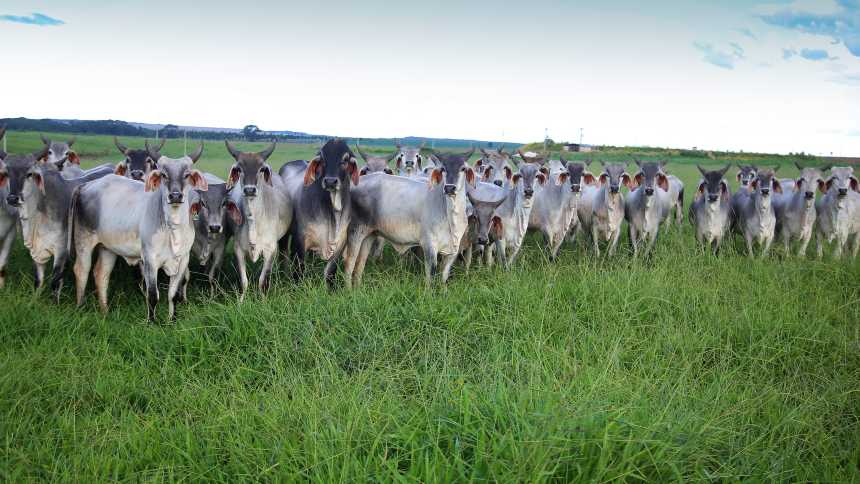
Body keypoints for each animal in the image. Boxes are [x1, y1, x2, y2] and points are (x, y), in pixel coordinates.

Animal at [72, 143, 207, 322]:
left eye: (186, 175)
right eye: (163, 174)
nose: (175, 196)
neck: (173, 227)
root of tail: (85, 186)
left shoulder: (183, 260)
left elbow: (173, 295)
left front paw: (172, 320)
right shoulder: (150, 260)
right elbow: (153, 295)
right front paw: (152, 322)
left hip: (108, 248)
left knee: (101, 274)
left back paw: (105, 311)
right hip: (83, 241)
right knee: (82, 270)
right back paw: (80, 307)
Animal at [223, 141, 290, 298]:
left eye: (261, 169)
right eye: (239, 169)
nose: (249, 190)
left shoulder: (270, 249)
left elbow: (262, 280)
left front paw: (263, 299)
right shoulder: (238, 249)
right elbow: (244, 281)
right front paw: (241, 300)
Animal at [342, 147, 478, 288]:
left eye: (463, 168)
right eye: (443, 169)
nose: (449, 188)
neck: (450, 215)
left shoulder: (452, 252)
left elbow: (444, 278)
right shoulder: (429, 246)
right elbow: (431, 276)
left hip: (369, 234)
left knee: (360, 263)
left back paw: (357, 288)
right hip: (355, 231)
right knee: (349, 262)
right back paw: (349, 290)